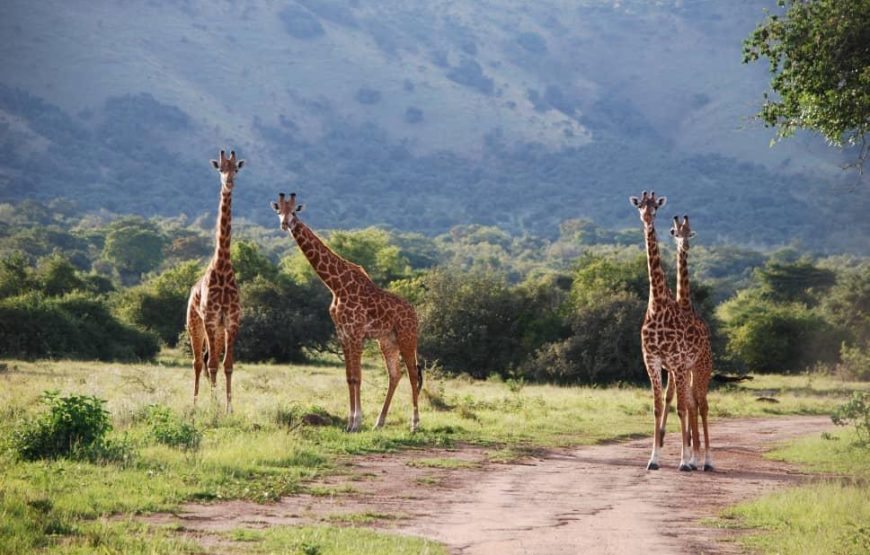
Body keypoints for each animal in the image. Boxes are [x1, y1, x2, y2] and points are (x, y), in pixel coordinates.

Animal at [272, 193, 422, 432]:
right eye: (279, 211)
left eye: (294, 211)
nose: (285, 224)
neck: (336, 285)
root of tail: (415, 314)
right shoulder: (343, 333)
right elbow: (349, 377)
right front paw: (350, 422)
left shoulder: (356, 332)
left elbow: (358, 377)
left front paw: (356, 422)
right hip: (387, 340)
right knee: (395, 374)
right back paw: (379, 422)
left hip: (407, 337)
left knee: (413, 374)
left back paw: (415, 424)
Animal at [632, 192, 704, 474]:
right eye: (640, 206)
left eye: (655, 207)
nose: (647, 218)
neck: (658, 304)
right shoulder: (651, 360)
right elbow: (657, 406)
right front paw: (653, 459)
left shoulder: (676, 361)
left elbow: (682, 407)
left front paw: (684, 460)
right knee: (684, 402)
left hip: (691, 367)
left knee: (693, 404)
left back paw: (695, 459)